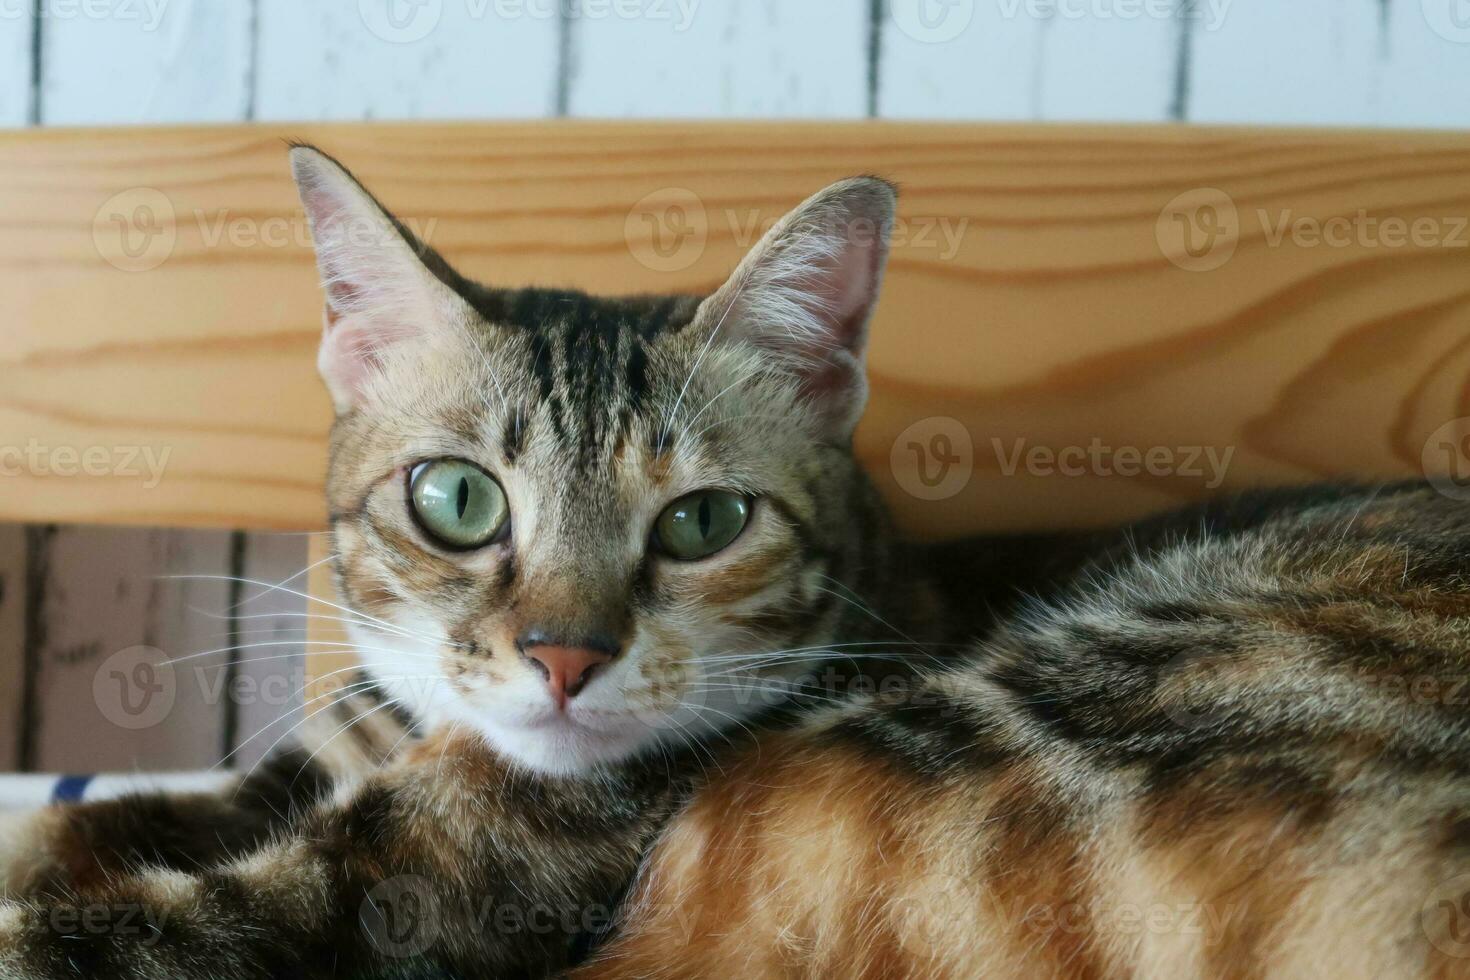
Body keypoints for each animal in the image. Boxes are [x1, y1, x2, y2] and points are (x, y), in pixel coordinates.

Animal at [2, 147, 1470, 980]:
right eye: (457, 498)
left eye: (703, 522)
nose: (564, 656)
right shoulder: (280, 780)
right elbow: (79, 823)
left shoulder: (376, 899)